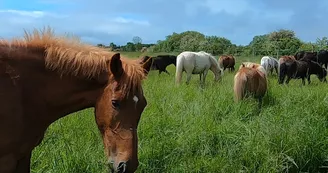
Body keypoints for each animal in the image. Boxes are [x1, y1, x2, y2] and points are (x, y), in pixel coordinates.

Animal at [0, 27, 154, 173]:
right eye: (115, 103)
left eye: (143, 105)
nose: (128, 166)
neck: (23, 88)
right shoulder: (7, 160)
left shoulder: (24, 155)